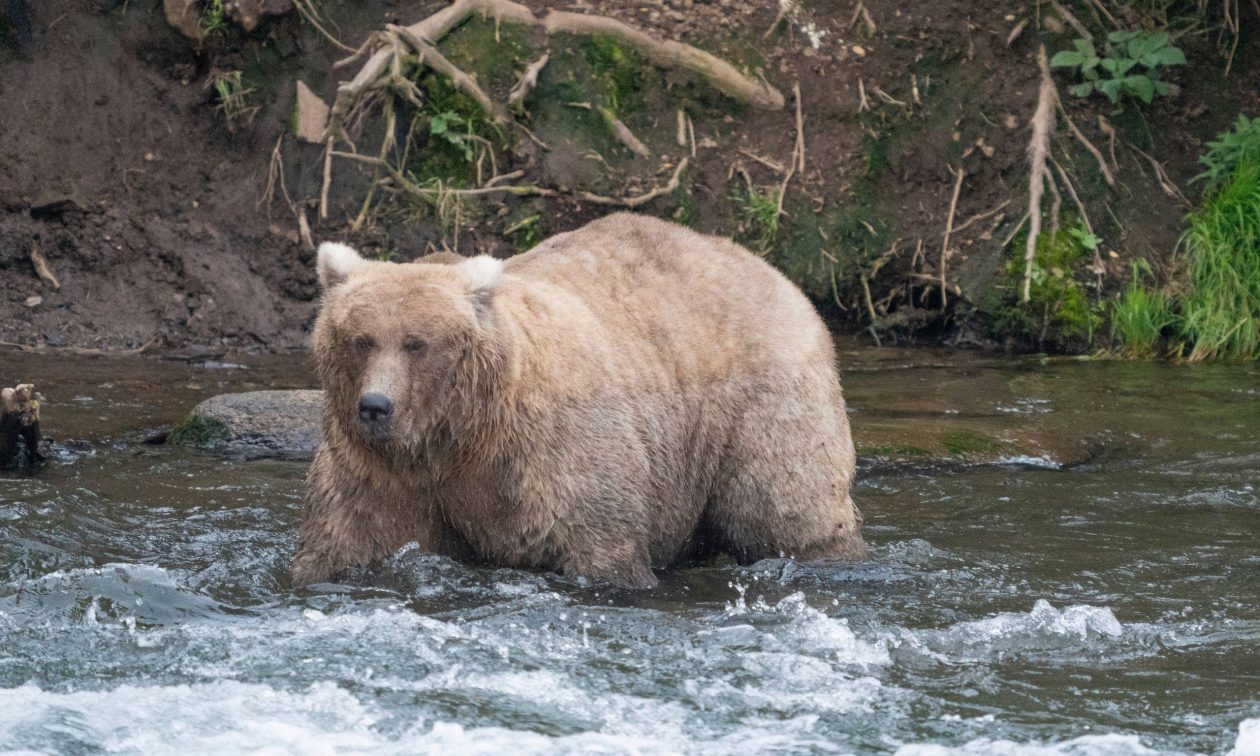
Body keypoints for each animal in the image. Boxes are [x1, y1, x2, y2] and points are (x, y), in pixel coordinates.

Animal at [293, 209, 866, 587]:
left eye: (417, 343)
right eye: (360, 338)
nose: (375, 406)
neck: (458, 437)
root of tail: (772, 271)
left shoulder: (550, 456)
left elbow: (598, 544)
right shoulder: (380, 472)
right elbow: (349, 539)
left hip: (759, 402)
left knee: (786, 506)